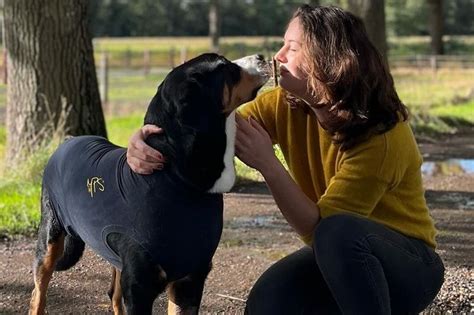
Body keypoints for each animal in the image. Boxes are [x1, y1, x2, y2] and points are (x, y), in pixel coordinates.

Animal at [30, 53, 270, 314]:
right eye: (226, 68)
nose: (261, 56)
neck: (177, 178)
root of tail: (70, 140)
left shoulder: (190, 280)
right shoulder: (139, 287)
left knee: (113, 294)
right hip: (50, 237)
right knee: (38, 291)